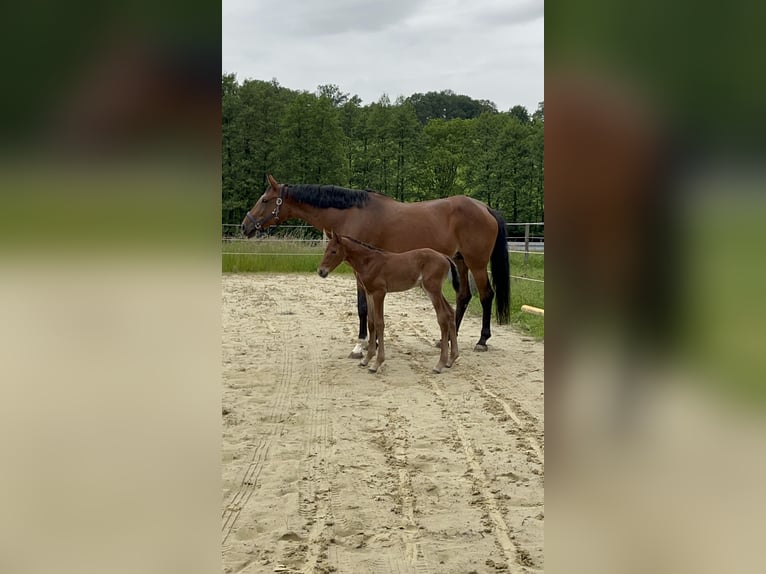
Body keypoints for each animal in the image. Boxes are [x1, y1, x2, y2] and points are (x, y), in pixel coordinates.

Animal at [242, 174, 510, 357]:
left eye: (264, 200)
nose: (246, 225)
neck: (350, 213)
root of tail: (485, 207)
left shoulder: (359, 270)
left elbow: (362, 307)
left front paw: (360, 345)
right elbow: (368, 309)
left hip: (476, 264)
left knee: (486, 295)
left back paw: (482, 341)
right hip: (460, 262)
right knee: (464, 296)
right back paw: (447, 338)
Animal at [318, 233, 460, 374]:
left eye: (334, 251)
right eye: (325, 249)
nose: (321, 271)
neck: (369, 262)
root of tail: (444, 256)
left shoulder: (379, 293)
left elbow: (379, 323)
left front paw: (376, 363)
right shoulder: (369, 294)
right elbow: (371, 323)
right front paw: (366, 359)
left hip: (432, 289)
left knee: (442, 317)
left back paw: (440, 364)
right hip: (430, 290)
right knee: (450, 313)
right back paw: (451, 360)